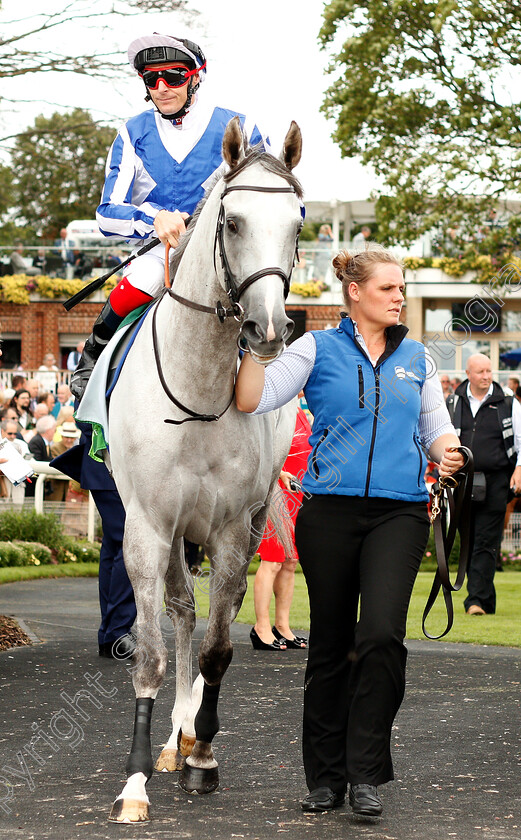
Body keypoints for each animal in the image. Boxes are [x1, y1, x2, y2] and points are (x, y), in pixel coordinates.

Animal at [103, 118, 302, 820]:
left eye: (298, 222)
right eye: (233, 221)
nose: (268, 329)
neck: (195, 389)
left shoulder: (230, 530)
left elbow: (218, 648)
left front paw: (204, 756)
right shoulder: (147, 527)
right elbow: (151, 653)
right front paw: (134, 782)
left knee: (211, 615)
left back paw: (188, 736)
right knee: (182, 611)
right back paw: (171, 740)